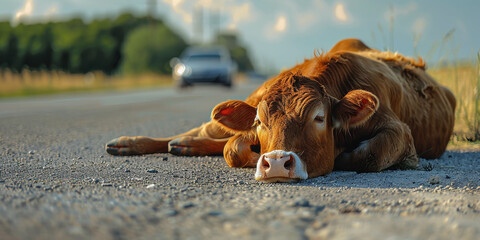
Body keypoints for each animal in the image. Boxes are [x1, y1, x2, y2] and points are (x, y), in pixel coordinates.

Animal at [104, 38, 454, 183]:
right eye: (259, 120)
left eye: (319, 118)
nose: (274, 163)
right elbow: (233, 148)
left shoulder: (401, 133)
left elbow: (370, 153)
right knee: (203, 133)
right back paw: (130, 143)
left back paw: (184, 145)